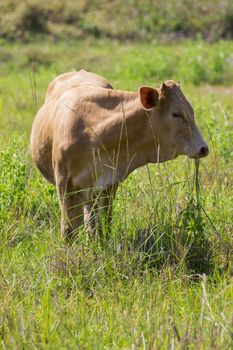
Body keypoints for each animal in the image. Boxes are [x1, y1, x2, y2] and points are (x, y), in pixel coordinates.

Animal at [30, 69, 208, 242]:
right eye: (176, 114)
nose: (203, 148)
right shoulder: (65, 184)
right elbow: (68, 231)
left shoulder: (110, 183)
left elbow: (105, 224)